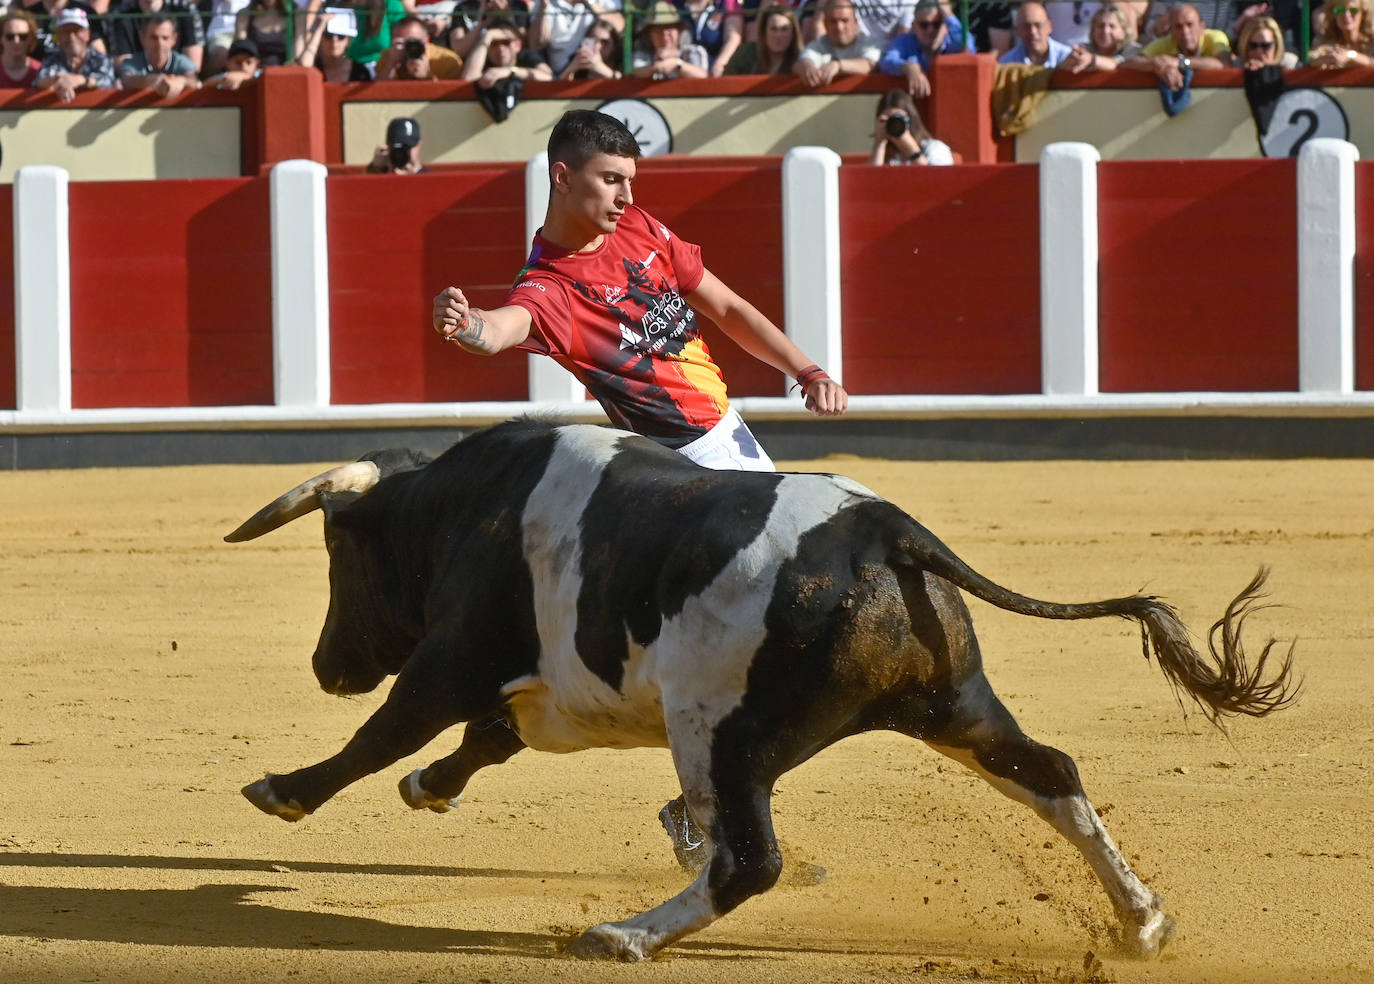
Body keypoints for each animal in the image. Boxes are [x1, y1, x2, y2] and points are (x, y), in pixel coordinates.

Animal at [225, 420, 1297, 962]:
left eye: (340, 554)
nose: (326, 665)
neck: (459, 506)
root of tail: (888, 532)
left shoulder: (453, 656)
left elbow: (389, 733)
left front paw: (282, 792)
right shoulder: (543, 685)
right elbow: (484, 739)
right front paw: (429, 790)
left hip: (719, 736)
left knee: (750, 860)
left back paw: (623, 934)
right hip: (955, 705)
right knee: (1054, 774)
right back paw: (1142, 920)